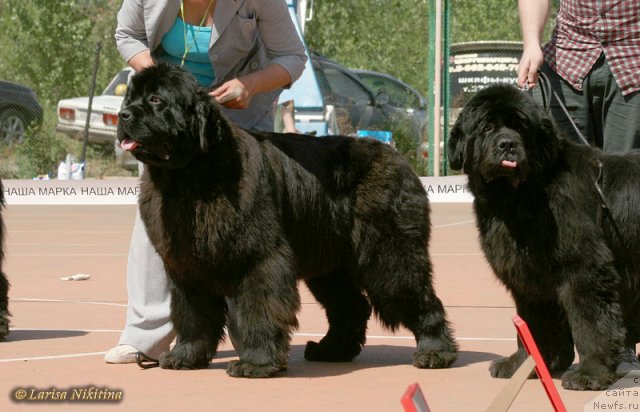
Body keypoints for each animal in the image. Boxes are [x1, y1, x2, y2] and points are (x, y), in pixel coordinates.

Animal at [114, 62, 456, 378]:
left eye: (156, 99)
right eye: (130, 98)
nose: (123, 115)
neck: (191, 177)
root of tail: (398, 158)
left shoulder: (259, 258)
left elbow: (259, 308)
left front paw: (256, 363)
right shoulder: (187, 264)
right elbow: (193, 314)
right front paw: (186, 356)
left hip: (389, 256)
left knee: (419, 298)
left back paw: (435, 352)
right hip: (330, 263)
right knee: (350, 305)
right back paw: (332, 350)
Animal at [448, 83, 640, 390]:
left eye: (521, 127)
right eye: (487, 127)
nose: (507, 144)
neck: (520, 196)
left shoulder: (584, 268)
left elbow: (591, 323)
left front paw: (589, 374)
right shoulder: (528, 277)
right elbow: (533, 324)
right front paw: (525, 364)